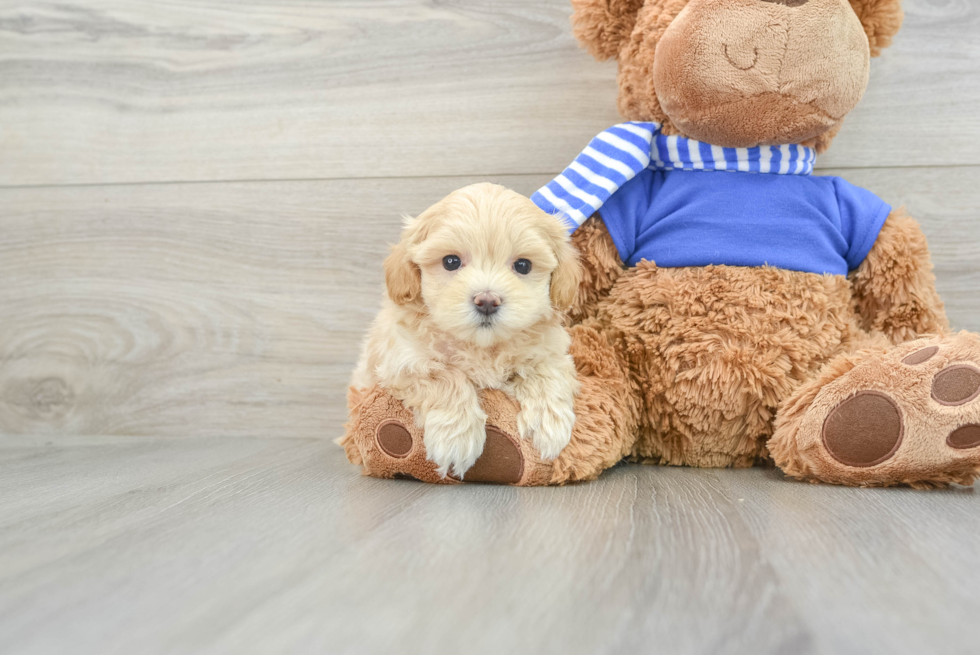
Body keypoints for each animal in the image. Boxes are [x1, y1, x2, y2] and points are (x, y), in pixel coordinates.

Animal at [350, 182, 580, 480]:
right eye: (451, 262)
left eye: (523, 265)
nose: (487, 301)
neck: (481, 346)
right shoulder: (403, 361)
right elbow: (445, 376)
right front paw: (456, 438)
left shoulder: (549, 351)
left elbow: (546, 371)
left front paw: (549, 423)